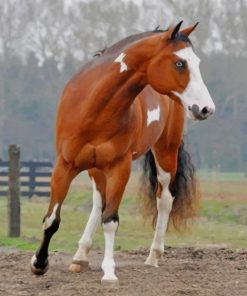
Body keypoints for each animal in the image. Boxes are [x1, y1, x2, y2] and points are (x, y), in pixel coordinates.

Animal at [30, 22, 214, 284]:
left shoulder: (119, 168)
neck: (95, 108)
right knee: (99, 202)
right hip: (96, 167)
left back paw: (154, 255)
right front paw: (39, 263)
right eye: (180, 63)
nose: (207, 108)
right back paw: (80, 256)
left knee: (164, 199)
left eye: (196, 62)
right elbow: (52, 219)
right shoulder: (64, 166)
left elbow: (111, 220)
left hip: (165, 152)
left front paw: (109, 272)